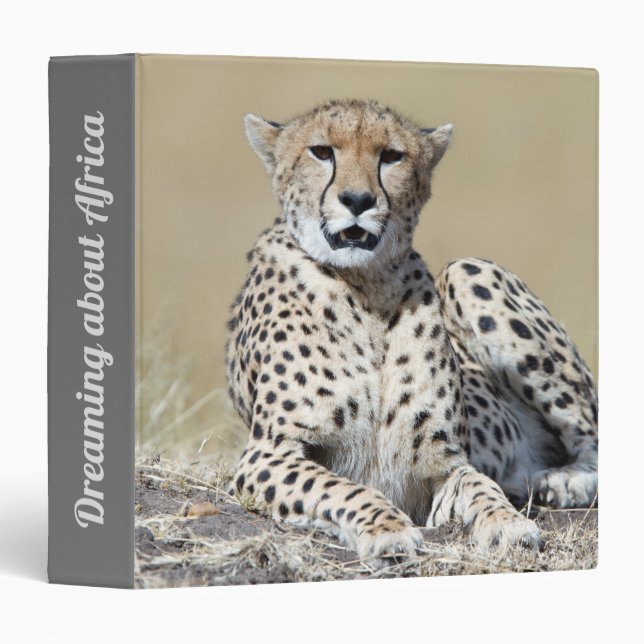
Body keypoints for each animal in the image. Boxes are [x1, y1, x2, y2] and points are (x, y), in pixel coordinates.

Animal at [225, 99, 598, 567]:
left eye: (391, 156)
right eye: (321, 152)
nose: (358, 199)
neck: (365, 288)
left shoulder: (447, 464)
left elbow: (480, 485)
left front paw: (506, 523)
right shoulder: (267, 453)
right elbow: (338, 486)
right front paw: (386, 529)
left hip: (467, 270)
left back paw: (567, 480)